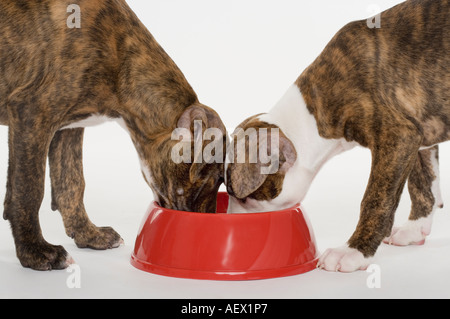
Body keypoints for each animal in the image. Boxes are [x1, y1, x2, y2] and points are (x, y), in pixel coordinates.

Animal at [0, 0, 225, 272]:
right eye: (210, 177)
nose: (207, 222)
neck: (121, 60)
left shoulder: (68, 128)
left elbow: (71, 183)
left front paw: (88, 234)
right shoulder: (32, 113)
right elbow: (28, 189)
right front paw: (34, 251)